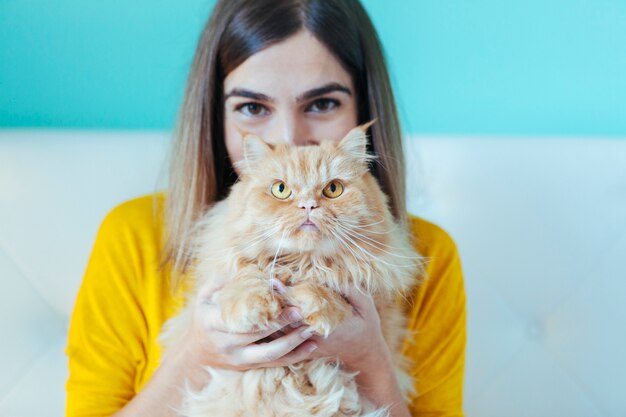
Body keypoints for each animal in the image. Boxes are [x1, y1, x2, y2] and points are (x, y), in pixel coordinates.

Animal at [161, 123, 424, 416]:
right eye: (280, 189)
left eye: (333, 189)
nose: (308, 205)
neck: (301, 263)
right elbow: (249, 275)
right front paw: (252, 305)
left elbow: (331, 283)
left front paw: (318, 303)